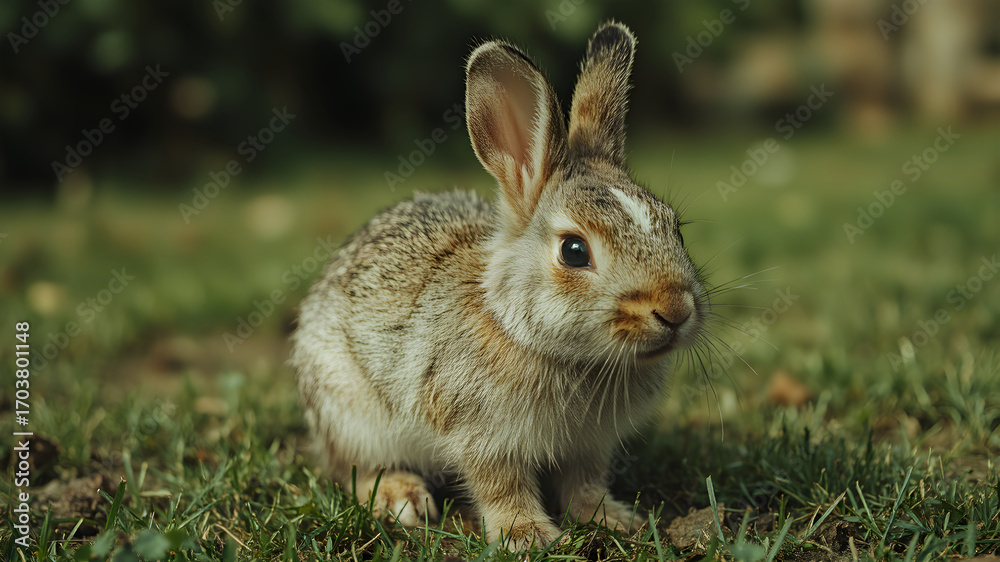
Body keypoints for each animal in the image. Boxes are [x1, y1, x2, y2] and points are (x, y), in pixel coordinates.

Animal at [290, 20, 708, 551]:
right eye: (575, 251)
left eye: (676, 228)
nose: (675, 310)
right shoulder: (481, 433)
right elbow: (500, 484)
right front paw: (526, 535)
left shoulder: (589, 446)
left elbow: (584, 482)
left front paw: (610, 518)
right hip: (349, 412)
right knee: (354, 466)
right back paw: (401, 498)